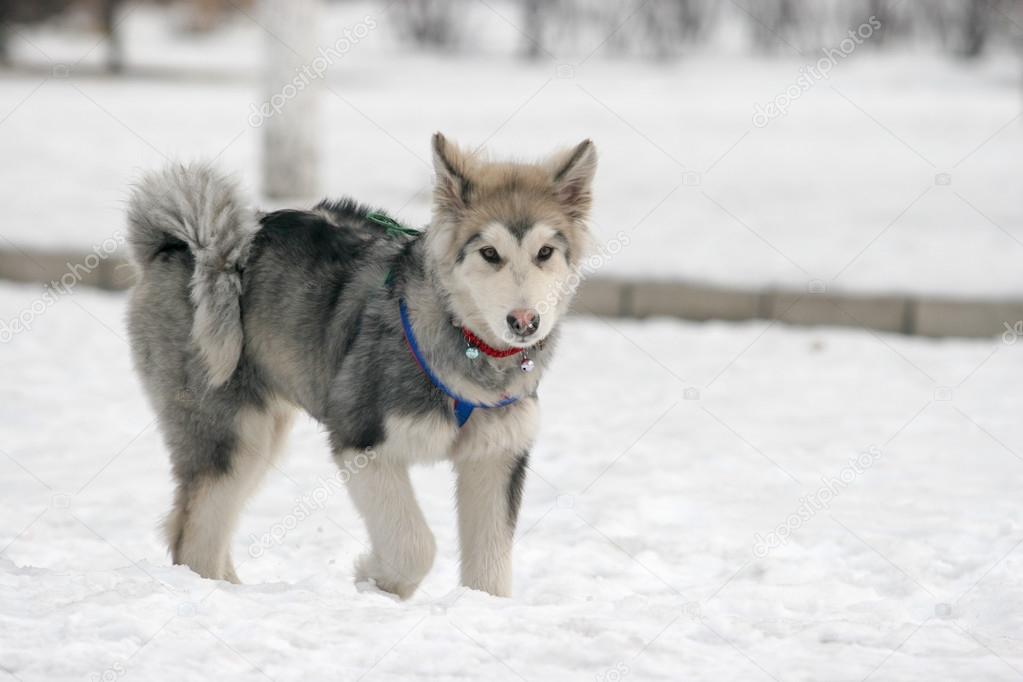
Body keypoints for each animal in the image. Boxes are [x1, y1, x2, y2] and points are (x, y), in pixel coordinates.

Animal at [124, 132, 597, 597]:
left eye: (545, 252)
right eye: (489, 253)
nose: (525, 321)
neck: (468, 347)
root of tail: (177, 246)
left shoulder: (497, 455)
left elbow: (490, 573)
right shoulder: (361, 439)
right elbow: (413, 545)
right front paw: (375, 577)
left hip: (262, 434)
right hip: (230, 429)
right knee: (193, 538)